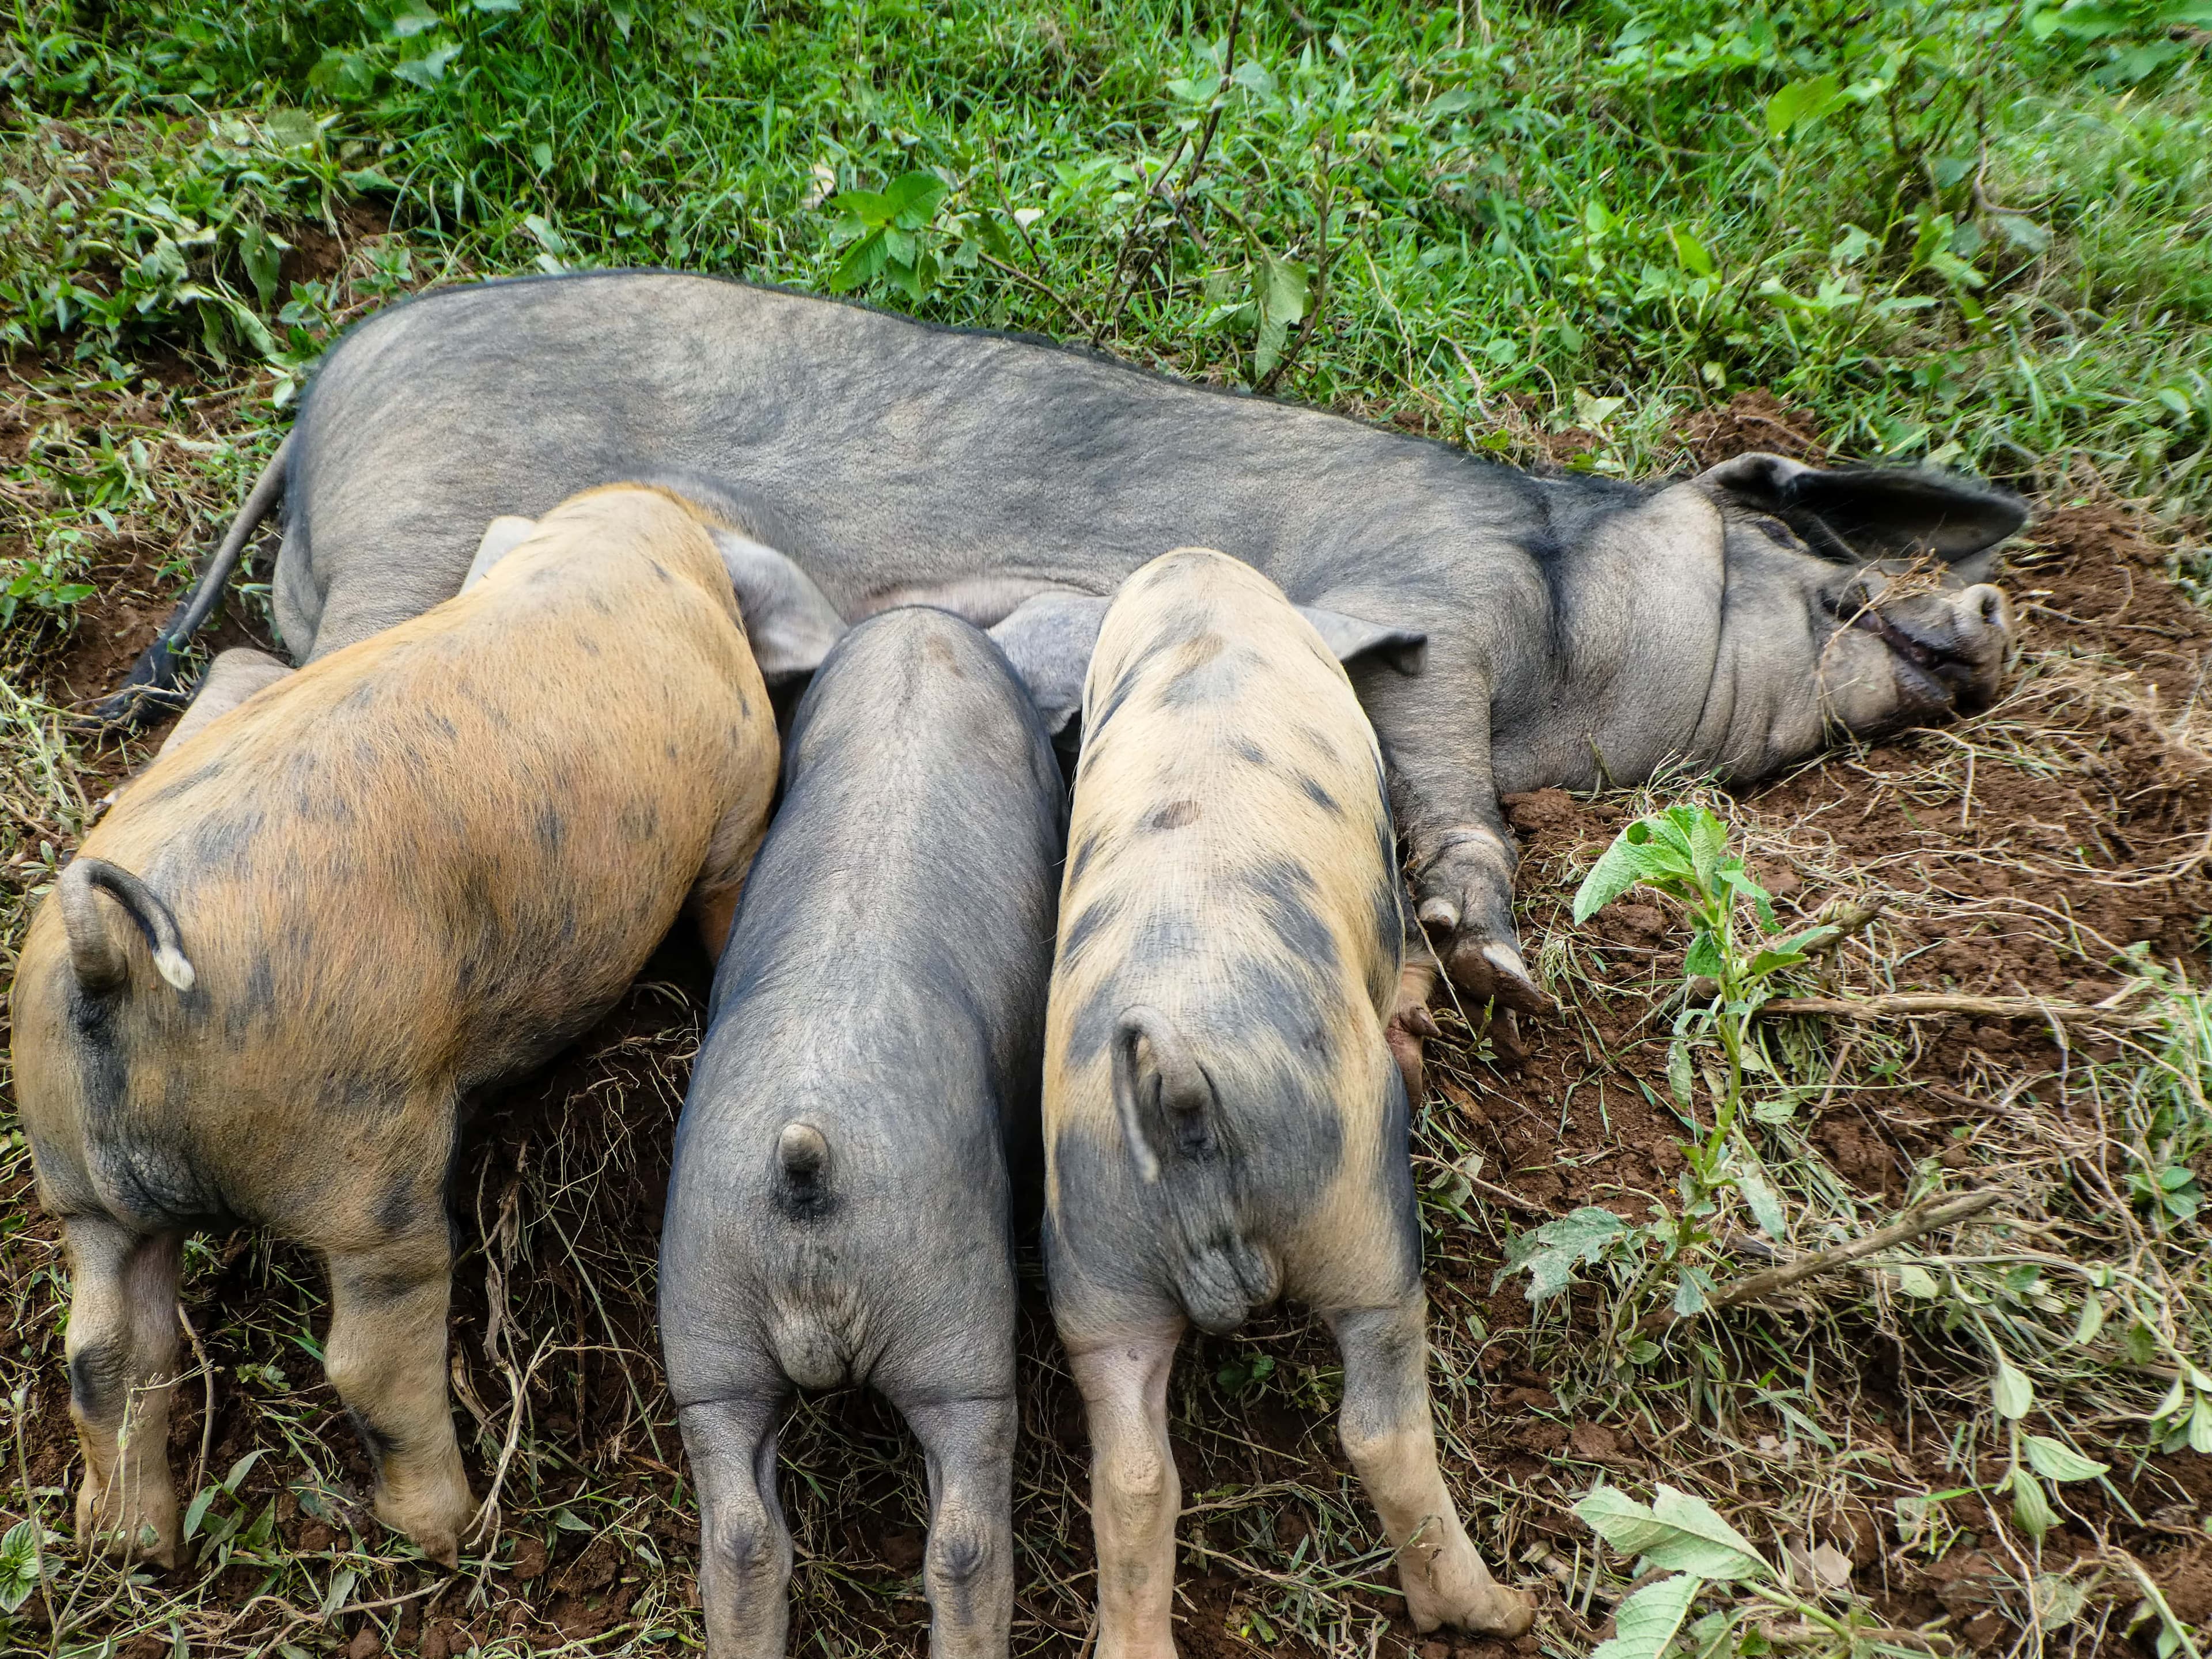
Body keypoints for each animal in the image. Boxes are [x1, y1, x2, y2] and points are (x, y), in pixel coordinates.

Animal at [11, 483, 841, 1568]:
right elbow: (726, 894)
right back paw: (457, 1528)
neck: (621, 537)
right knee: (368, 1355)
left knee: (106, 1352)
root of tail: (110, 963)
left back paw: (132, 1546)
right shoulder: (739, 805)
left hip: (77, 1180)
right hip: (363, 1162)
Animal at [102, 275, 2025, 1042]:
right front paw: (1491, 963)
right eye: (1814, 552)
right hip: (421, 554)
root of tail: (320, 401)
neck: (1574, 633)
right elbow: (1438, 761)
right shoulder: (1431, 598)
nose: (1995, 608)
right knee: (262, 707)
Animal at [1038, 547, 1532, 1659]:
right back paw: (1501, 1612)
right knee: (1379, 1427)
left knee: (1132, 1475)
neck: (1202, 607)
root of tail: (1177, 1086)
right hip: (1356, 1212)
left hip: (1096, 1259)